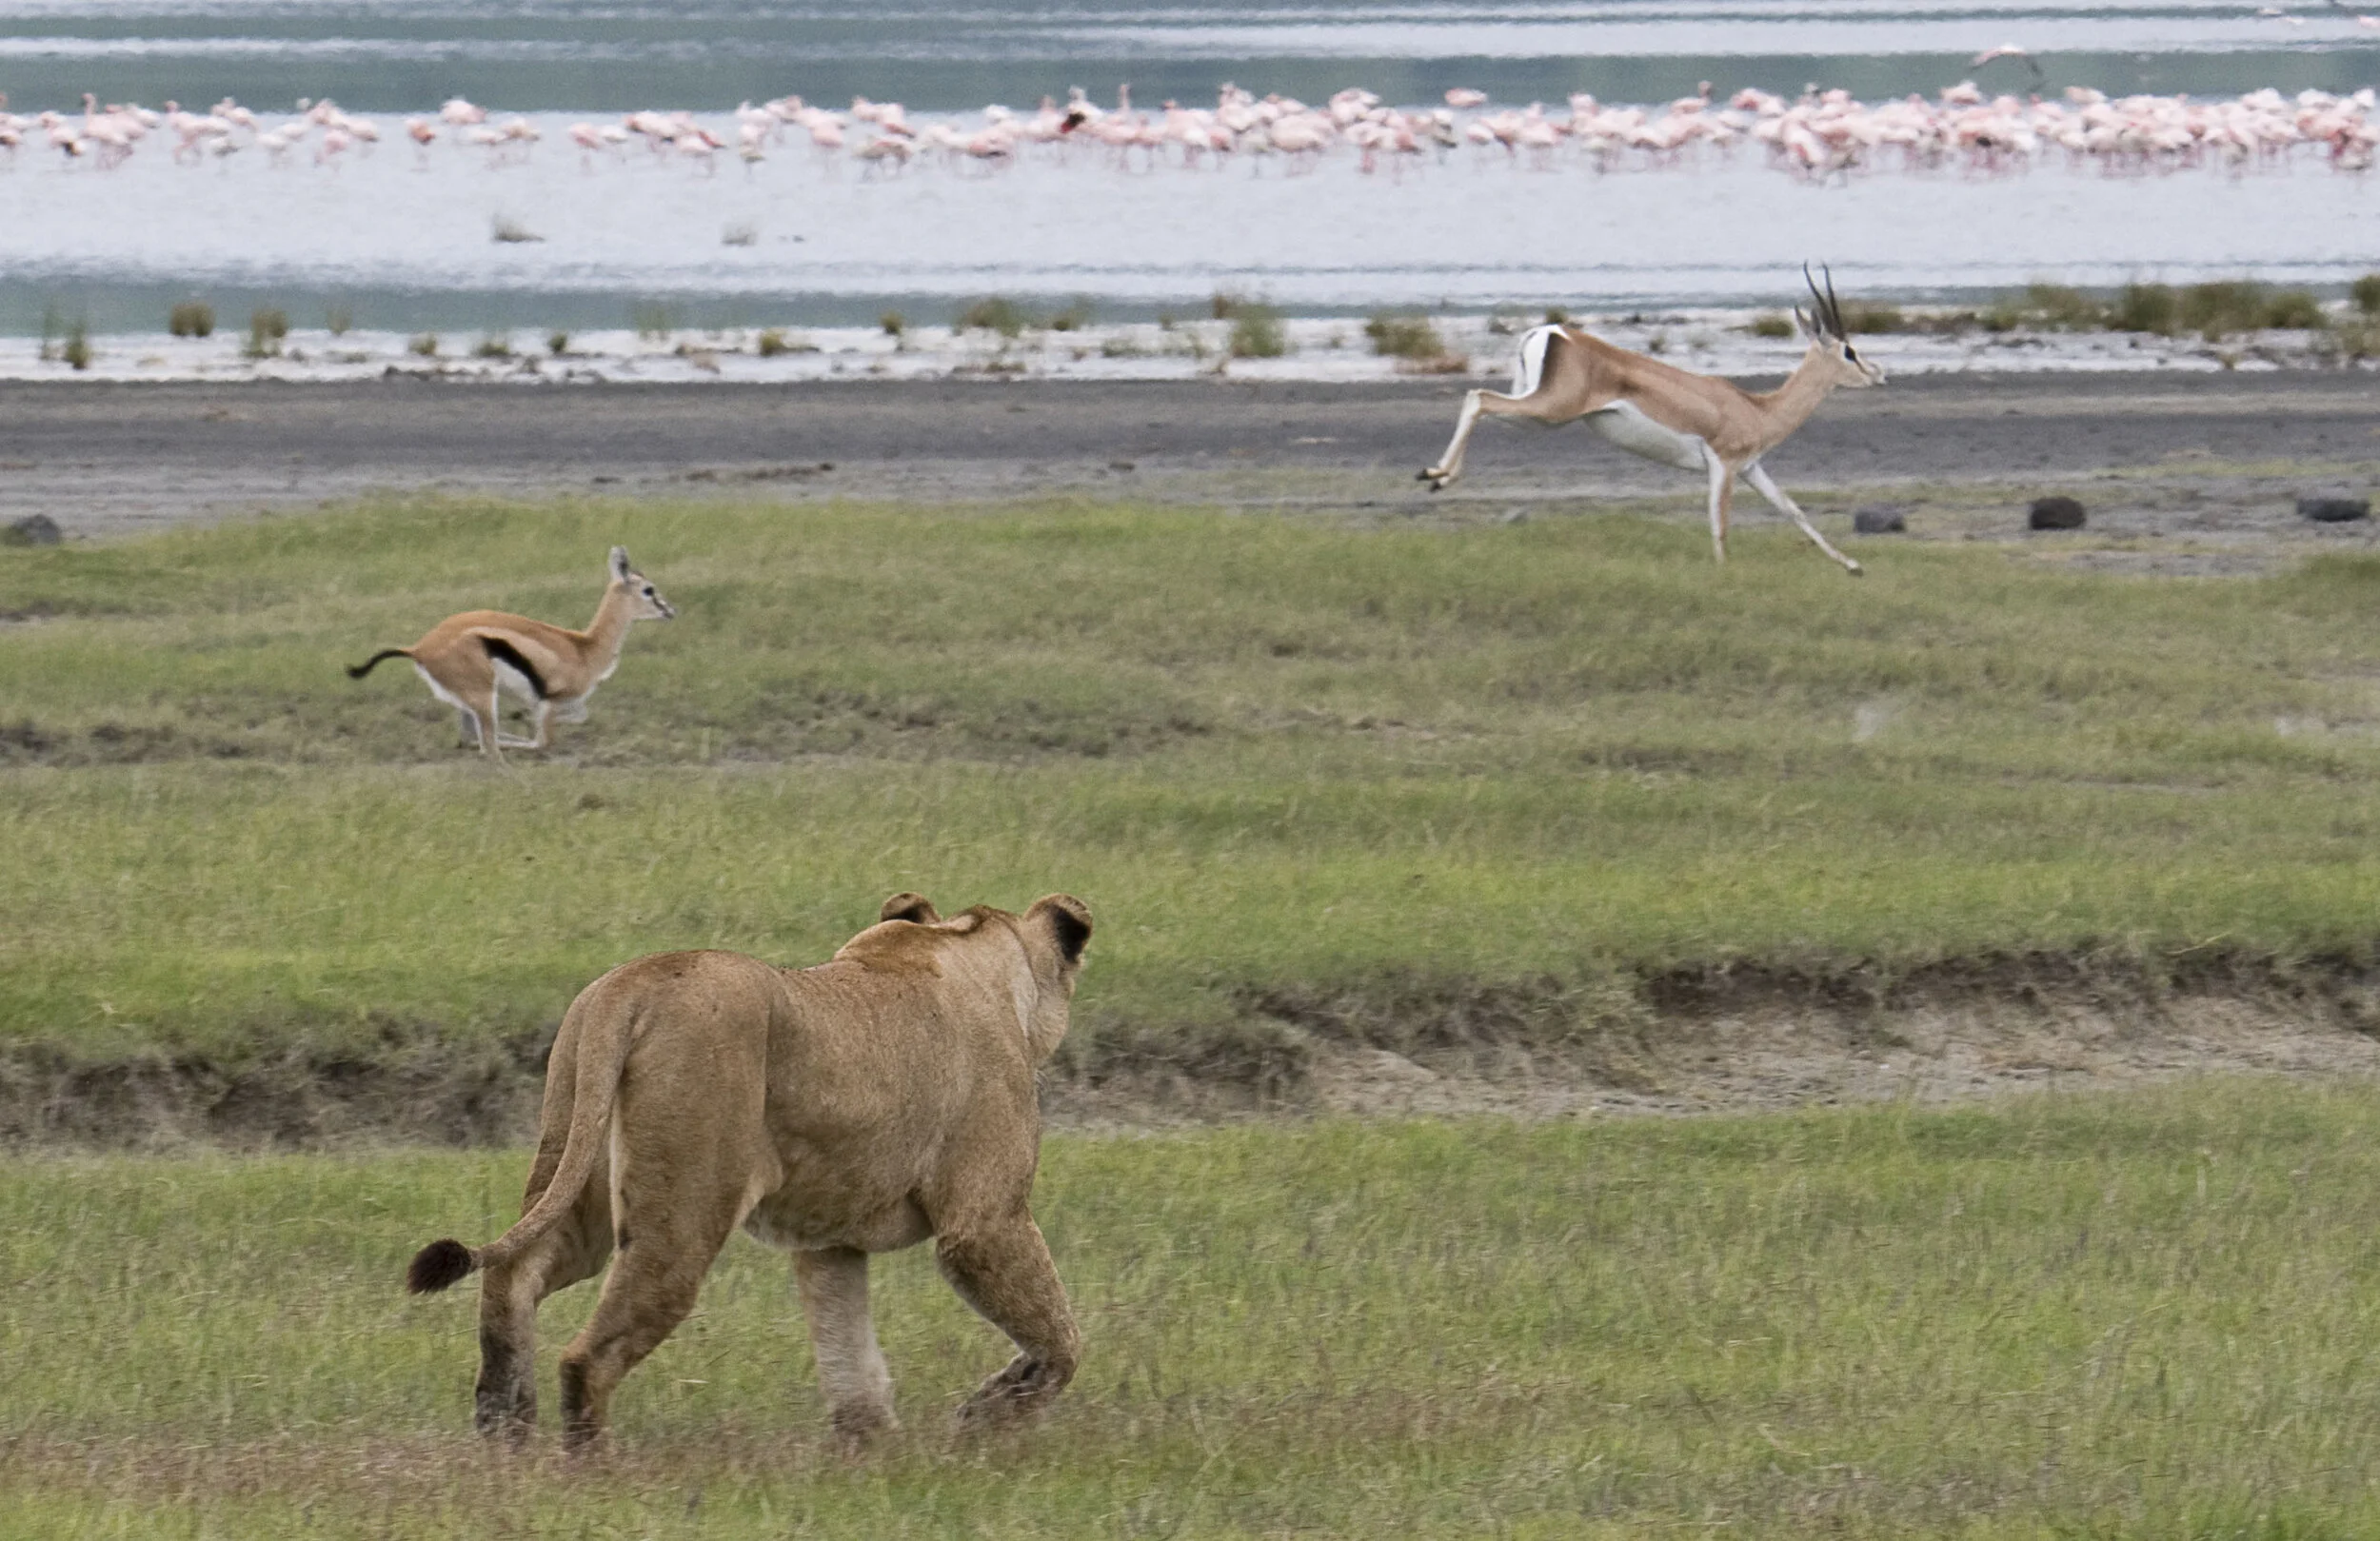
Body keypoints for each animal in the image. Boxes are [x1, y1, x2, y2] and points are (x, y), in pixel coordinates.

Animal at [347, 547, 675, 755]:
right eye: (648, 590)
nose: (671, 611)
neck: (583, 648)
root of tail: (419, 647)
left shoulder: (567, 704)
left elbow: (580, 716)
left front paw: (522, 717)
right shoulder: (549, 703)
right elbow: (543, 740)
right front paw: (525, 719)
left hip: (466, 702)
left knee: (471, 737)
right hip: (484, 696)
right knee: (486, 744)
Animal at [405, 890, 1093, 1449]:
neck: (966, 947)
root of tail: (635, 979)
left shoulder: (828, 1240)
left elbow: (849, 1350)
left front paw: (875, 1453)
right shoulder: (983, 1221)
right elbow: (1058, 1337)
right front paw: (983, 1417)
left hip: (575, 1166)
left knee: (513, 1277)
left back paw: (506, 1434)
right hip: (684, 1210)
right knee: (587, 1357)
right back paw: (591, 1469)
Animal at [1419, 266, 1884, 573]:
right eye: (1849, 351)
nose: (1878, 373)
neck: (1757, 408)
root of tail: (1548, 332)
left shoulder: (1751, 467)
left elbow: (1792, 509)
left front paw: (1852, 565)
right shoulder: (1723, 464)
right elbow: (1720, 522)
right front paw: (1723, 571)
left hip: (1536, 410)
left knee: (1478, 399)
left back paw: (1438, 477)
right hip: (1551, 411)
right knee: (1479, 398)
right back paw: (1435, 475)